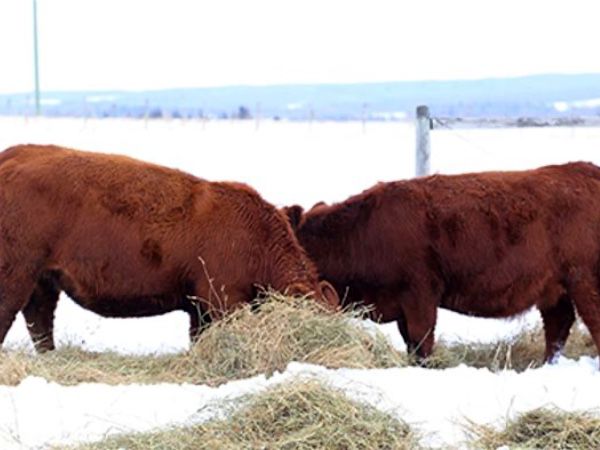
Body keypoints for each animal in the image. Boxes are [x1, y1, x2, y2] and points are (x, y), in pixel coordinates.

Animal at [0, 144, 339, 352]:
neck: (256, 236)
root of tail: (15, 154)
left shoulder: (199, 310)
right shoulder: (224, 301)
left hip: (42, 281)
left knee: (40, 324)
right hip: (15, 277)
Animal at [285, 162, 600, 365]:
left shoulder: (420, 295)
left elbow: (422, 342)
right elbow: (411, 345)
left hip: (585, 282)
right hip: (556, 290)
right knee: (558, 327)